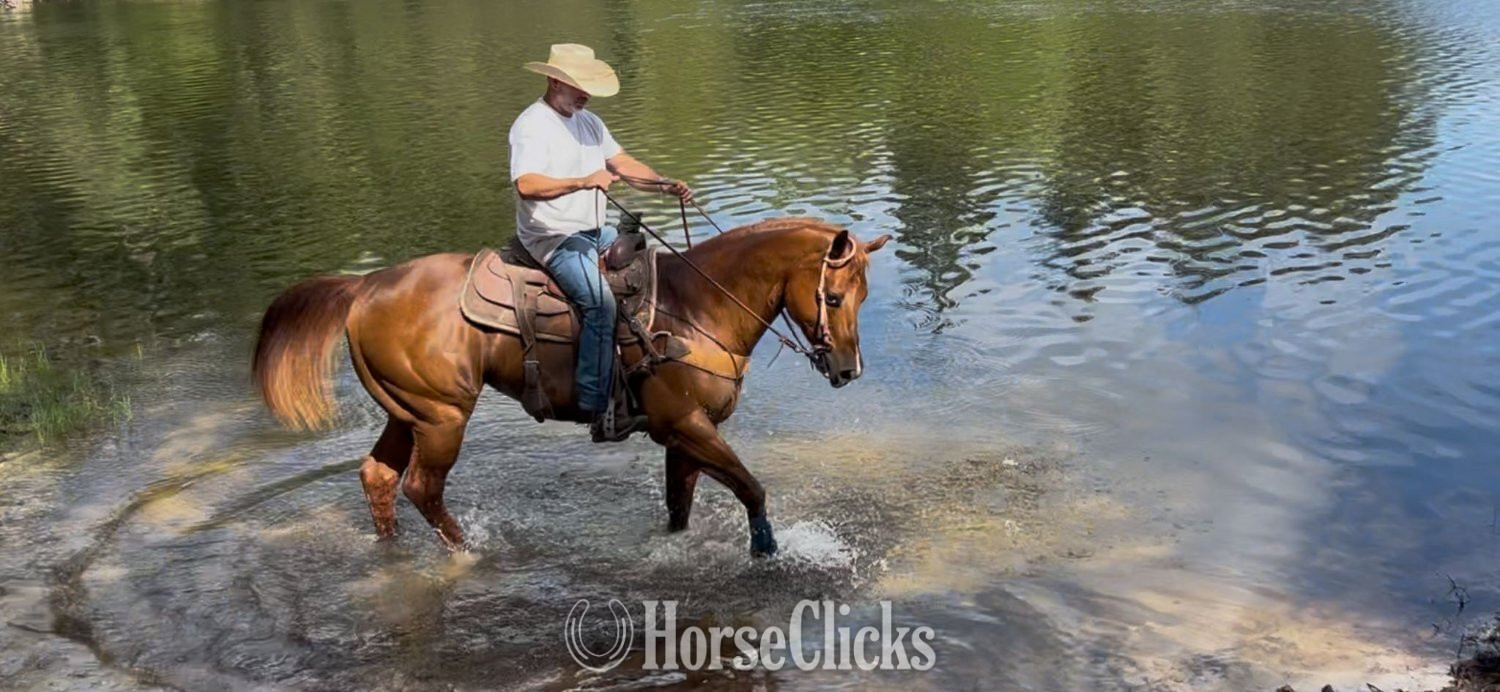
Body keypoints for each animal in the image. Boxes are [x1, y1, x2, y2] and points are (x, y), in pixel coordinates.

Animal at [251, 217, 891, 557]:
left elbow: (679, 507)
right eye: (835, 297)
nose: (849, 370)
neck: (696, 308)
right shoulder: (686, 426)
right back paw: (466, 557)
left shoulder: (684, 436)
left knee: (379, 477)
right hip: (440, 417)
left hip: (405, 411)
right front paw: (765, 549)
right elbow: (752, 489)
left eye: (862, 296)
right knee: (420, 488)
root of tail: (364, 286)